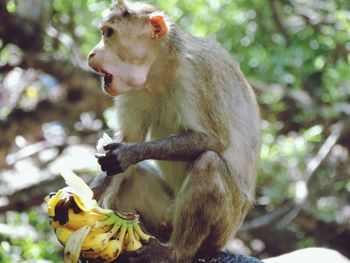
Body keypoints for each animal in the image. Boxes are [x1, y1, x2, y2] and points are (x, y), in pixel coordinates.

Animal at [87, 0, 260, 262]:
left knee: (209, 163)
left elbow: (214, 140)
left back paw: (175, 251)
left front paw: (129, 153)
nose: (91, 54)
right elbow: (126, 145)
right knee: (133, 177)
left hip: (224, 227)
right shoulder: (135, 89)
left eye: (109, 33)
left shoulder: (198, 71)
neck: (160, 68)